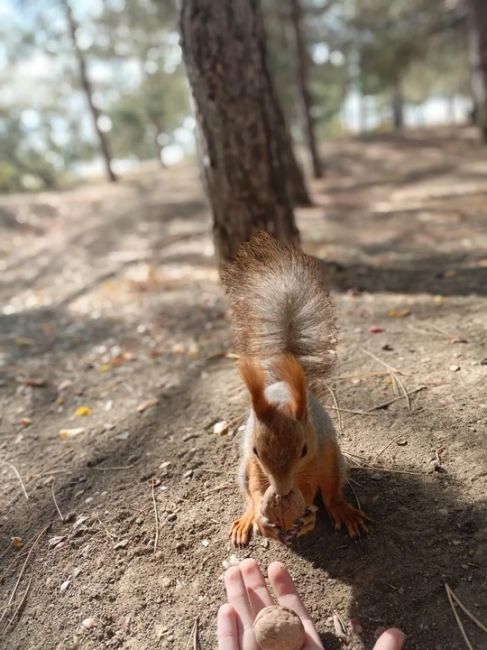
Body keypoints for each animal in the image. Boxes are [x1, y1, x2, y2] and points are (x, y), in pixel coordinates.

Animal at [223, 230, 368, 544]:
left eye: (303, 450)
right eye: (256, 450)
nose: (282, 492)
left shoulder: (317, 455)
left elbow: (317, 490)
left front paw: (306, 520)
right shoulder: (254, 464)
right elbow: (257, 488)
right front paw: (263, 518)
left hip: (333, 458)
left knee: (331, 491)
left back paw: (343, 511)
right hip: (243, 469)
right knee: (249, 492)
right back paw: (249, 518)